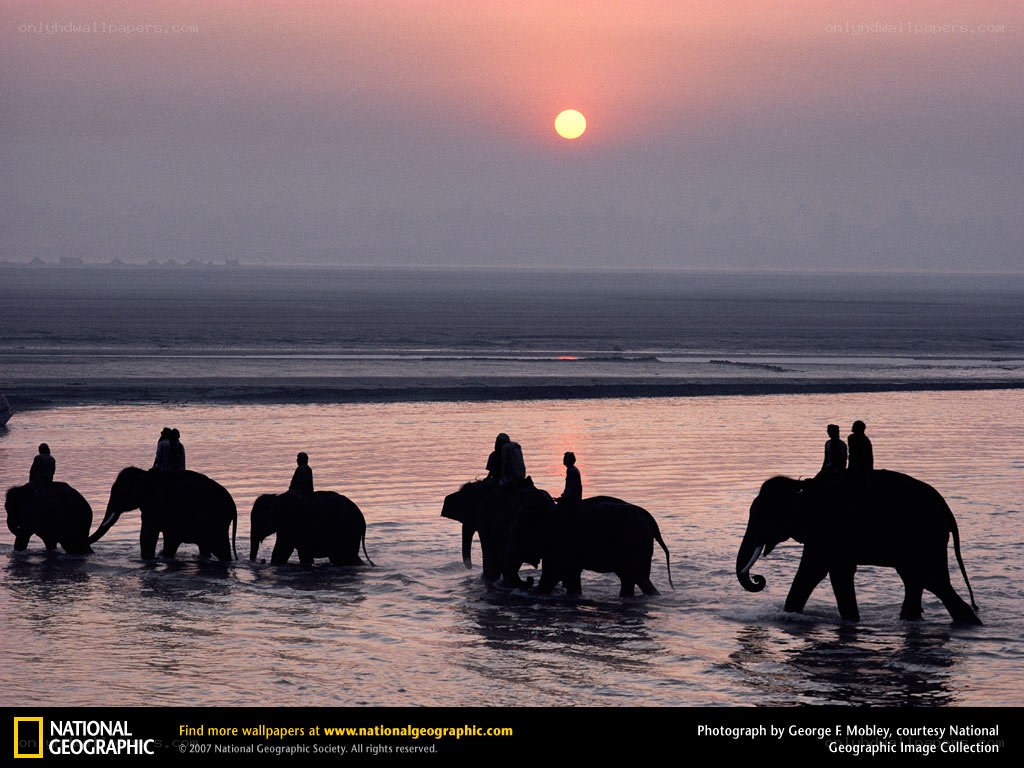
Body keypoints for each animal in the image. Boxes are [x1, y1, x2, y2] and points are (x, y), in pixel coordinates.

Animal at [89, 467, 237, 561]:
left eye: (120, 492)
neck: (146, 475)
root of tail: (233, 505)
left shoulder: (155, 505)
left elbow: (149, 534)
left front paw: (151, 559)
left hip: (216, 520)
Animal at [509, 486, 673, 597]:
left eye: (518, 530)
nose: (529, 579)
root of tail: (651, 520)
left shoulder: (558, 543)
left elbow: (552, 575)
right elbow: (571, 576)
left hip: (635, 544)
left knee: (639, 578)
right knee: (629, 579)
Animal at [736, 470, 981, 625]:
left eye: (763, 515)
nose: (759, 579)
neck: (802, 486)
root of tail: (948, 512)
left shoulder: (827, 530)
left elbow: (817, 571)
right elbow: (829, 572)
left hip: (925, 539)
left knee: (931, 580)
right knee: (917, 580)